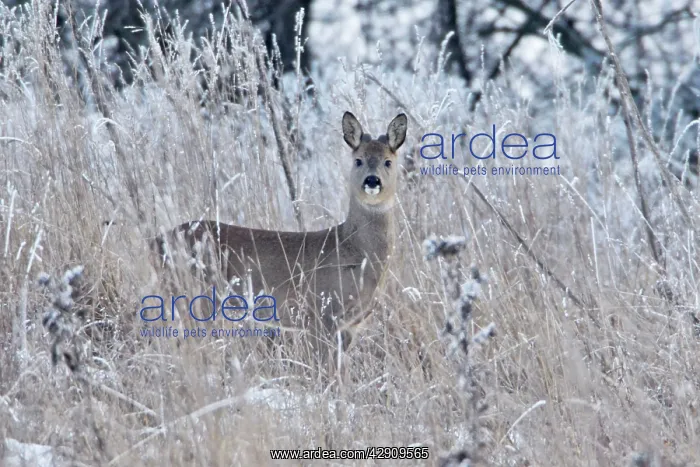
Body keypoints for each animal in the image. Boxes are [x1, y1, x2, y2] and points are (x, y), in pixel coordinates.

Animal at [154, 112, 407, 369]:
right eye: (358, 160)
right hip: (193, 296)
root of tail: (156, 241)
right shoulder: (319, 314)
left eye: (388, 161)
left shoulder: (348, 326)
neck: (353, 249)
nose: (372, 181)